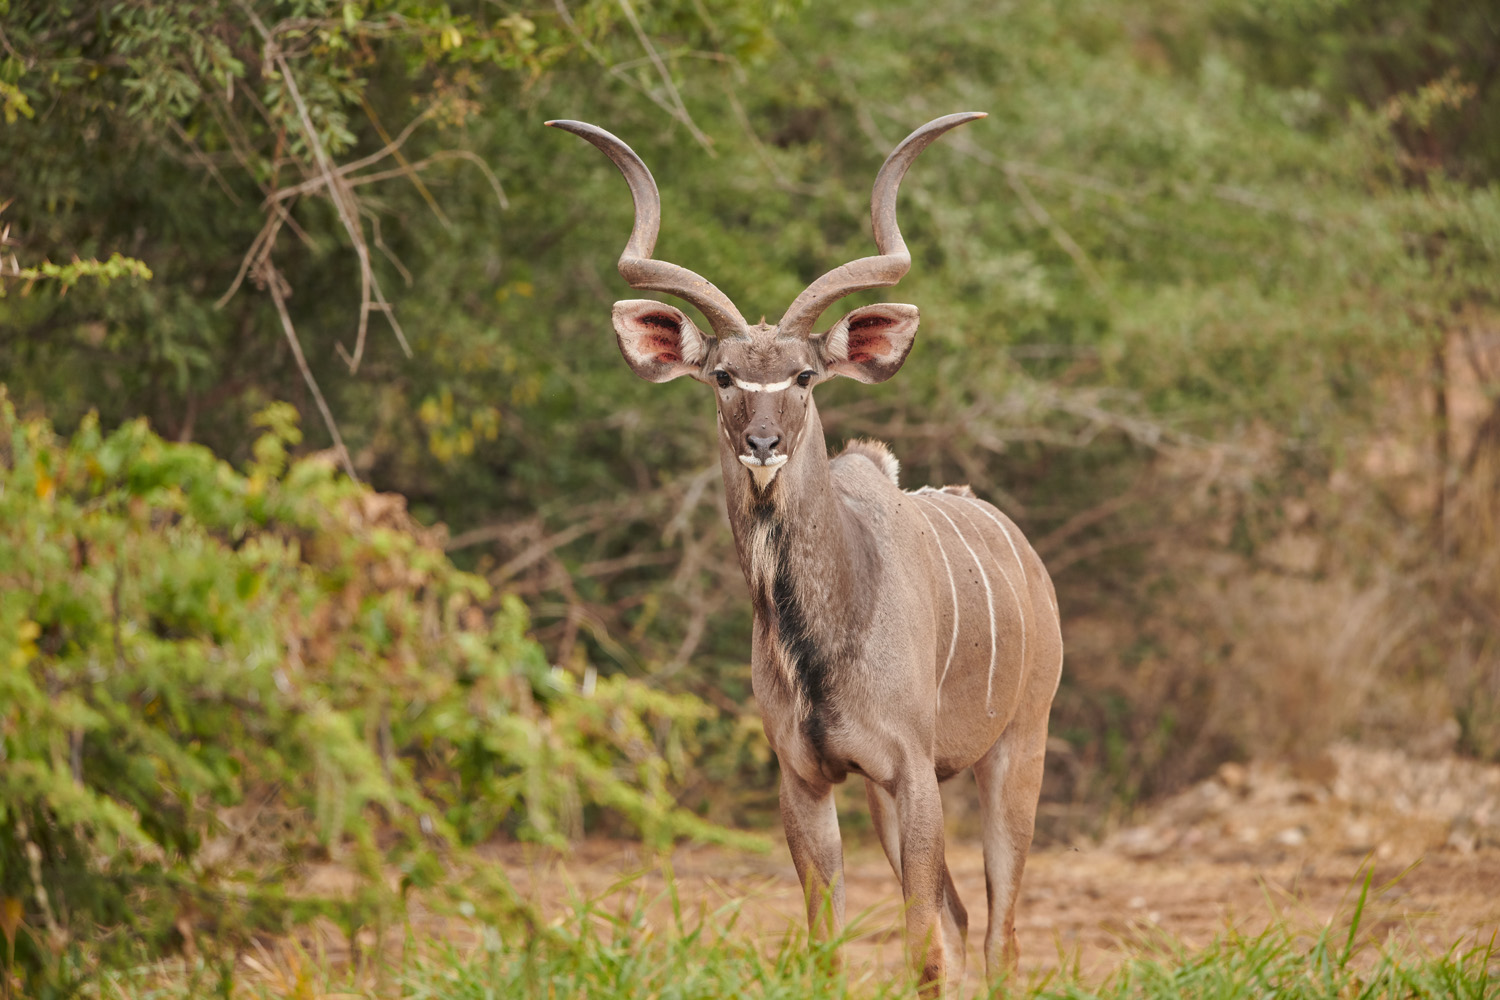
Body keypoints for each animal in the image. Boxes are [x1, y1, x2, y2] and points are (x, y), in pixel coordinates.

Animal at [555, 111, 1068, 995]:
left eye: (802, 376)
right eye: (723, 376)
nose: (763, 444)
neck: (827, 631)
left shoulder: (911, 770)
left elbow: (920, 949)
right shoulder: (805, 777)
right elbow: (831, 944)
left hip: (1016, 747)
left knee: (998, 931)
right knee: (963, 919)